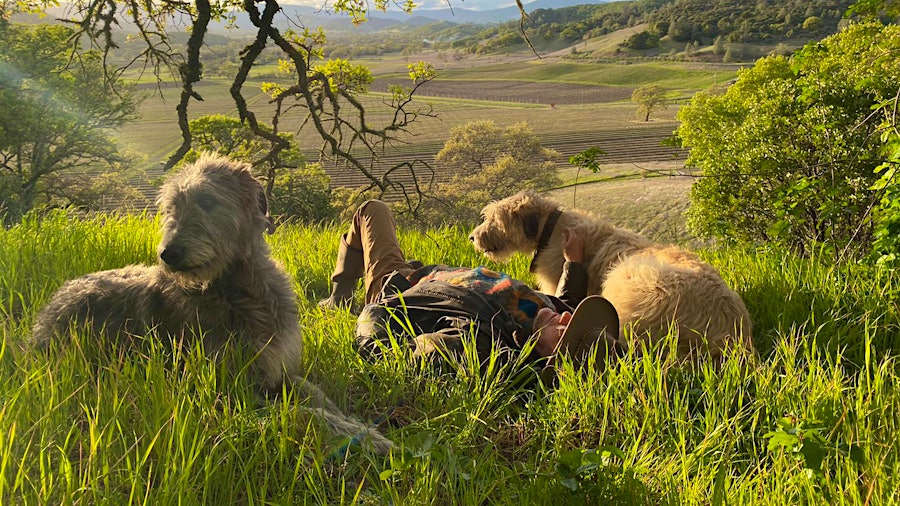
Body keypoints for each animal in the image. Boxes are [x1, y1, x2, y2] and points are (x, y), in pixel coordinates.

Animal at [32, 152, 390, 452]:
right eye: (171, 208)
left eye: (206, 201)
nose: (168, 254)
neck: (236, 291)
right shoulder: (230, 392)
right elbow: (304, 412)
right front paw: (370, 440)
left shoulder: (278, 369)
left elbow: (317, 396)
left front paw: (359, 424)